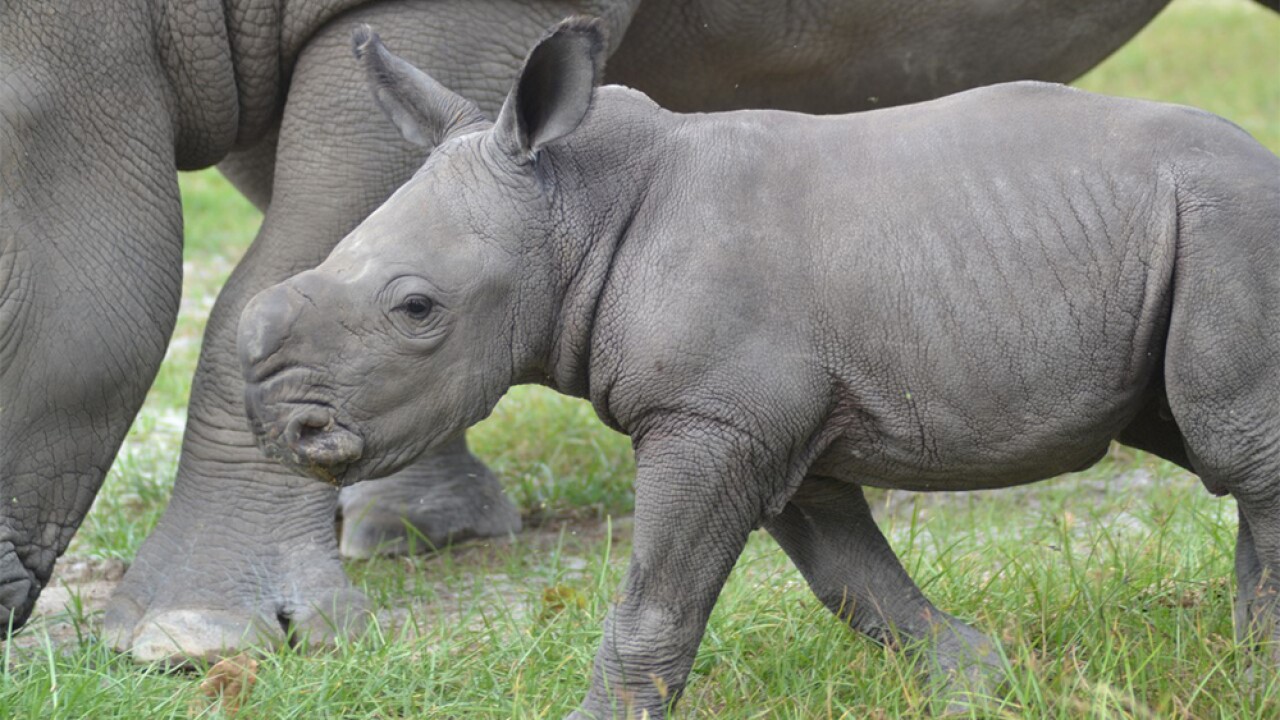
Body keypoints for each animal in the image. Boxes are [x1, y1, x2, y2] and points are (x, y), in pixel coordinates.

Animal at [5, 0, 1277, 663]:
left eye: (418, 310)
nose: (296, 432)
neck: (583, 203)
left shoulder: (719, 411)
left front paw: (193, 639)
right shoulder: (772, 410)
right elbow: (846, 568)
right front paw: (975, 673)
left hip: (1218, 226)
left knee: (1233, 449)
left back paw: (1255, 655)